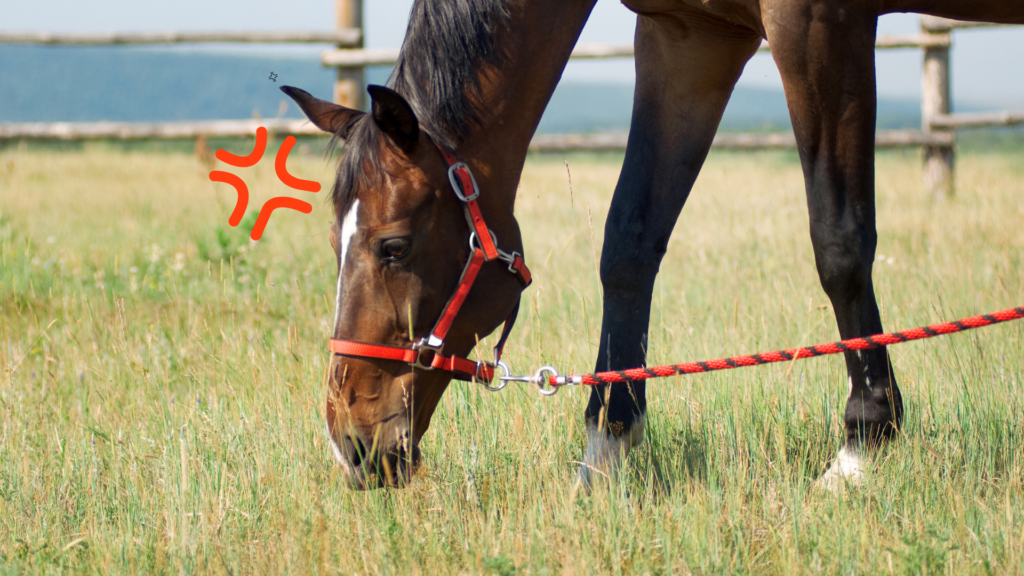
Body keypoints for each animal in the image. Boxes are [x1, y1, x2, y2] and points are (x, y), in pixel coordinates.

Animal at [280, 0, 1024, 487]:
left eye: (394, 247)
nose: (349, 442)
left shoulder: (818, 21)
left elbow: (839, 239)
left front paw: (861, 446)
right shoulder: (688, 35)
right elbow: (630, 243)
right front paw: (605, 447)